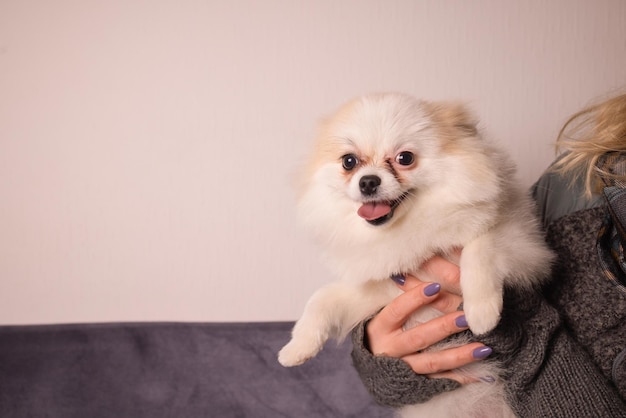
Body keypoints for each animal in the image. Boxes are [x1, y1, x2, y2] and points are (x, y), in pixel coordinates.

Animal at [278, 93, 552, 416]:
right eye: (349, 161)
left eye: (405, 158)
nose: (368, 181)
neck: (408, 231)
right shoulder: (382, 291)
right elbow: (321, 298)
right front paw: (297, 347)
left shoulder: (524, 245)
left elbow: (479, 249)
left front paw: (482, 311)